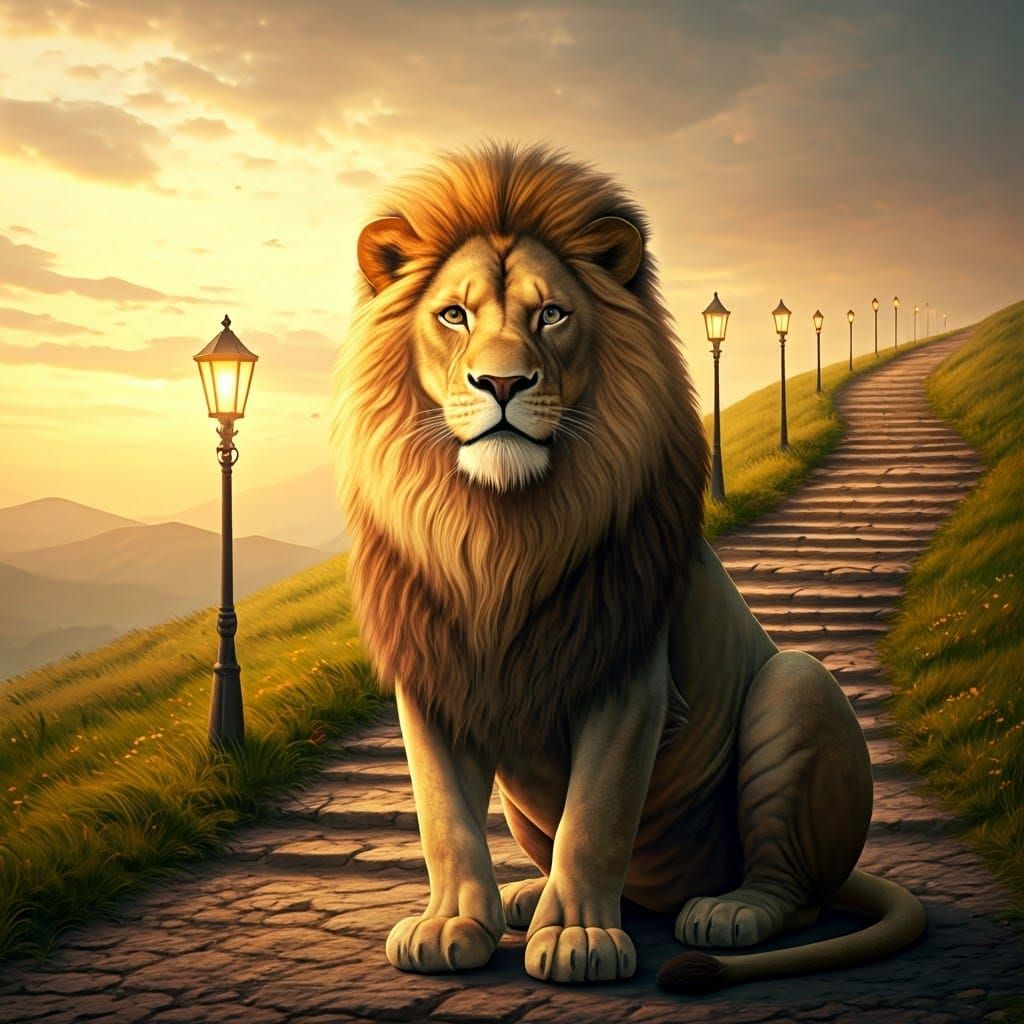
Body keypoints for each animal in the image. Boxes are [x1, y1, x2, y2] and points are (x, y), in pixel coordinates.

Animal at [331, 143, 925, 992]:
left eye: (552, 314)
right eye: (454, 315)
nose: (503, 383)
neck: (497, 531)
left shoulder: (628, 674)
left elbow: (597, 816)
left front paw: (579, 939)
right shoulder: (434, 675)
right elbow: (444, 818)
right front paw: (451, 925)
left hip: (798, 687)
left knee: (798, 894)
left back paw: (727, 912)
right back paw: (528, 895)